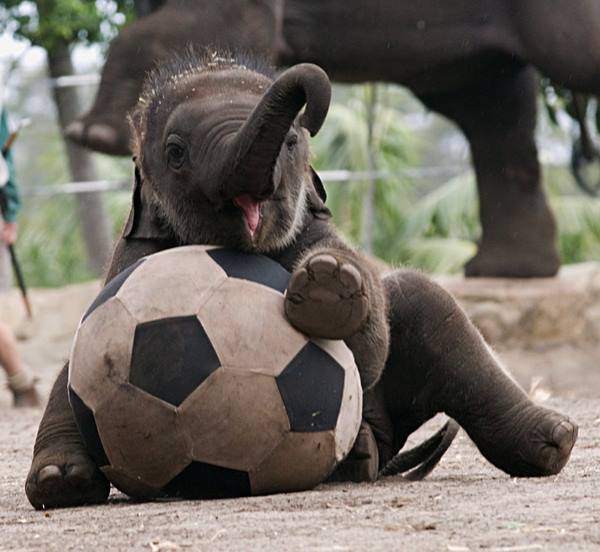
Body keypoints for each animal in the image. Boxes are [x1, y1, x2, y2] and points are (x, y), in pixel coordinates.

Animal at [25, 51, 580, 508]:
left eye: (292, 141)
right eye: (175, 151)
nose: (311, 104)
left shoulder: (321, 226)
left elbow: (369, 350)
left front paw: (328, 284)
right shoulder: (131, 261)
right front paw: (326, 288)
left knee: (425, 302)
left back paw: (551, 442)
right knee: (71, 367)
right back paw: (60, 482)